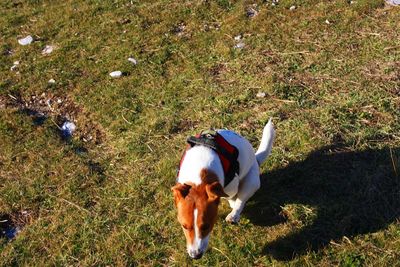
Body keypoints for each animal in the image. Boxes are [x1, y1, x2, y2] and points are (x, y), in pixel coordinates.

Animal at [172, 120, 276, 260]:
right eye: (184, 226)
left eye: (206, 226)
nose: (195, 256)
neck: (198, 177)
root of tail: (256, 159)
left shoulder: (232, 187)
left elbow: (232, 197)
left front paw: (231, 204)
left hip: (251, 181)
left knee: (241, 200)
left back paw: (233, 214)